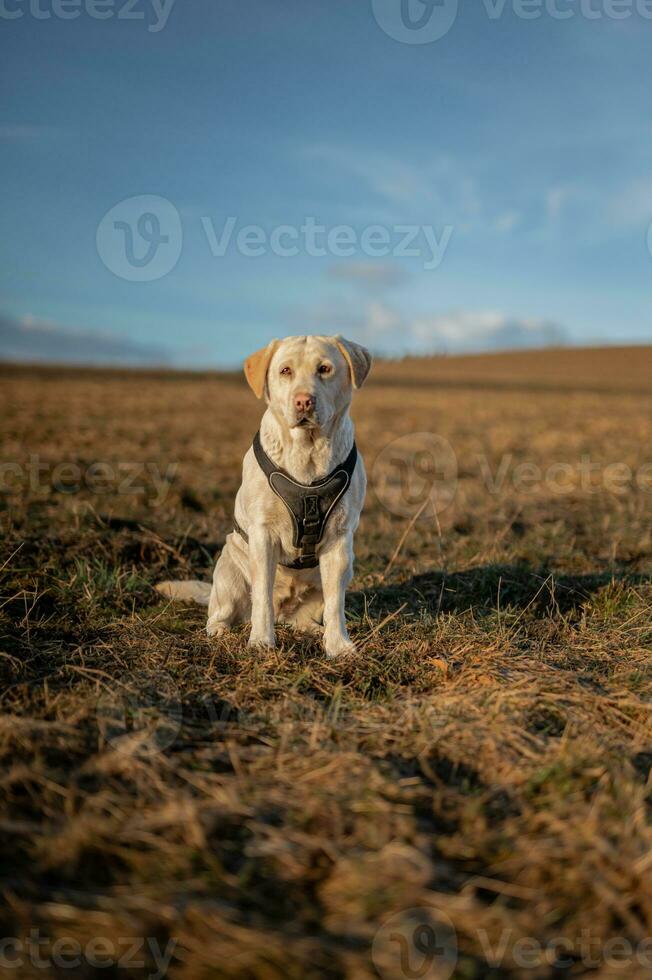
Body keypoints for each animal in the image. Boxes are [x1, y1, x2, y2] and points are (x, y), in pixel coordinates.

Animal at [157, 334, 372, 660]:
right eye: (285, 371)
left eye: (324, 369)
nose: (303, 401)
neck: (306, 452)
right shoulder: (263, 534)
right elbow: (262, 596)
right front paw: (261, 641)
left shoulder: (339, 540)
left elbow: (336, 604)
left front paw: (338, 645)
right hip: (229, 576)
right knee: (222, 613)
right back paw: (220, 630)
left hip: (341, 571)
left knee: (306, 616)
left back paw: (313, 630)